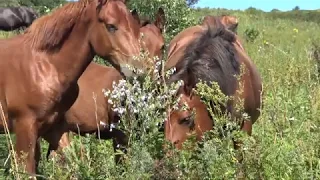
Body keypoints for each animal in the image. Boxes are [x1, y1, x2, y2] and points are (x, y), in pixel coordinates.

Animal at [0, 0, 142, 175]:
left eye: (134, 25)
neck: (44, 66)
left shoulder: (54, 128)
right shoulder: (25, 128)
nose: (138, 68)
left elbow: (73, 162)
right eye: (111, 26)